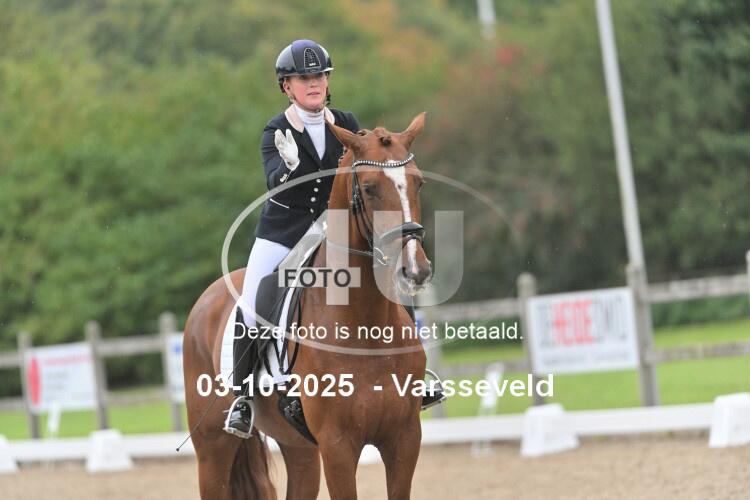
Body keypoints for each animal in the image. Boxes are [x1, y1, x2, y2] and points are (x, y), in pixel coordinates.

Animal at [183, 112, 432, 500]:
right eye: (370, 188)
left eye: (417, 182)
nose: (415, 269)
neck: (366, 326)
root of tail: (206, 298)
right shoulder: (337, 445)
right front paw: (290, 155)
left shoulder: (404, 439)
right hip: (212, 447)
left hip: (299, 448)